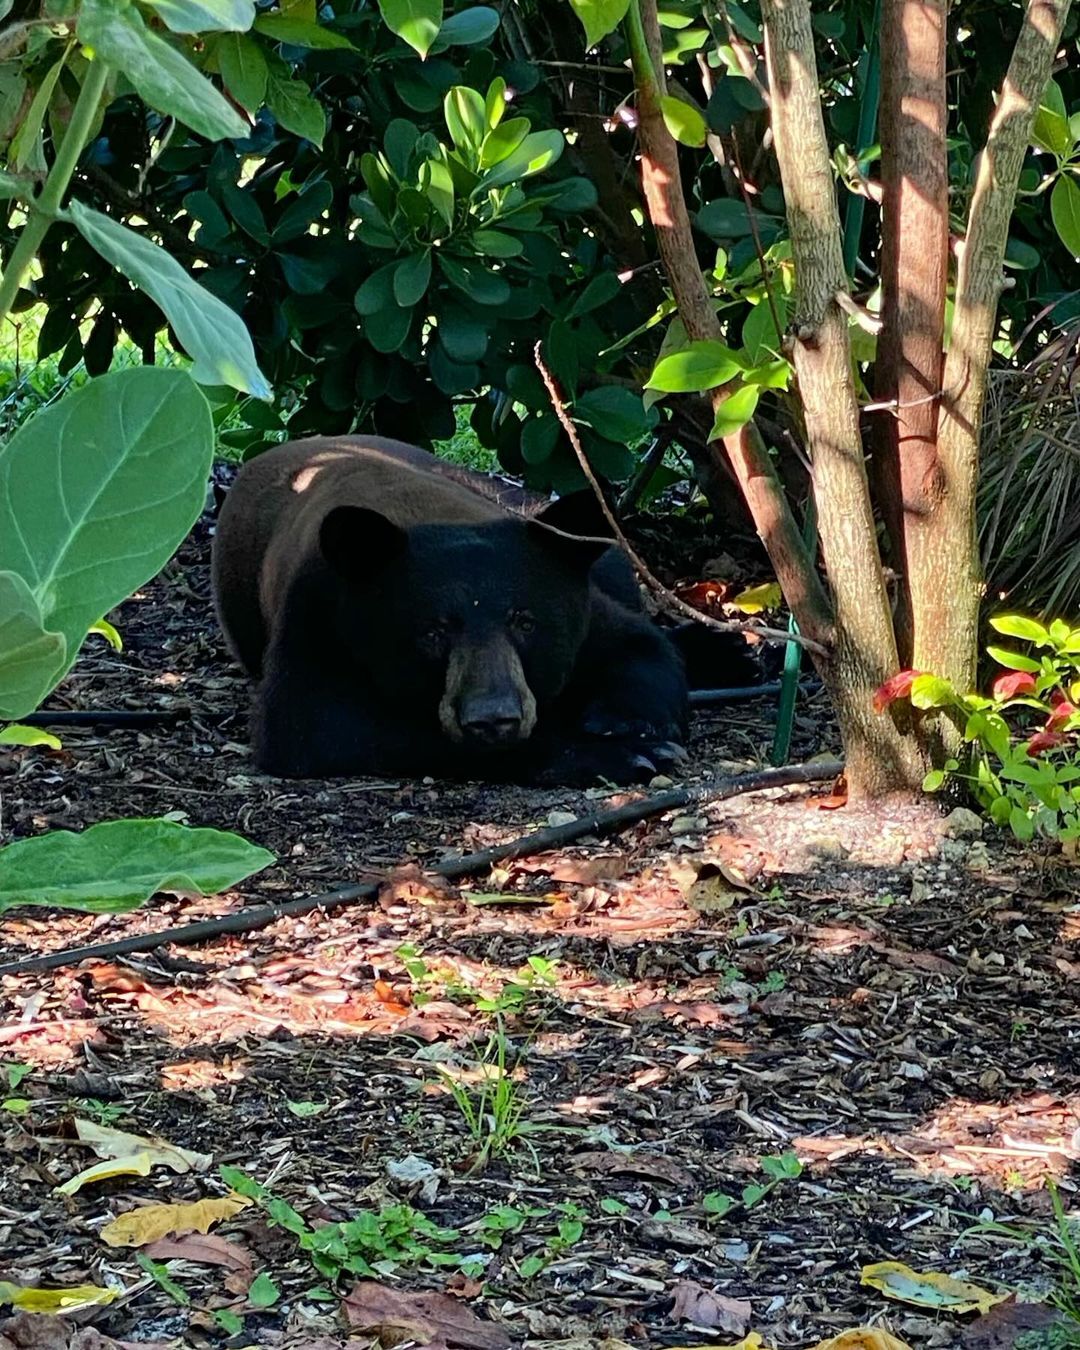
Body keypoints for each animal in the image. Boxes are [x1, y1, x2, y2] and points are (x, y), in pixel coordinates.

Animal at [213, 437, 745, 788]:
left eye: (525, 621)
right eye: (431, 633)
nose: (493, 719)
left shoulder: (582, 604)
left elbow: (638, 645)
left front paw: (628, 722)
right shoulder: (317, 621)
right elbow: (320, 728)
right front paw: (620, 754)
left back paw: (728, 649)